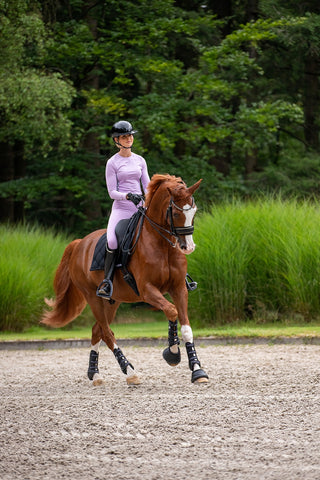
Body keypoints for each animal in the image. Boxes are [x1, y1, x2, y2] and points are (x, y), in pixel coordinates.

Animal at [40, 174, 210, 384]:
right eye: (177, 214)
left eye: (194, 211)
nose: (188, 247)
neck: (162, 245)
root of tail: (80, 243)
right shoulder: (147, 290)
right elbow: (171, 311)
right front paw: (172, 354)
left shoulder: (179, 288)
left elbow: (186, 328)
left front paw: (197, 370)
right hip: (93, 297)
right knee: (106, 333)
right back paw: (129, 372)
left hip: (112, 301)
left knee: (97, 330)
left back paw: (94, 374)